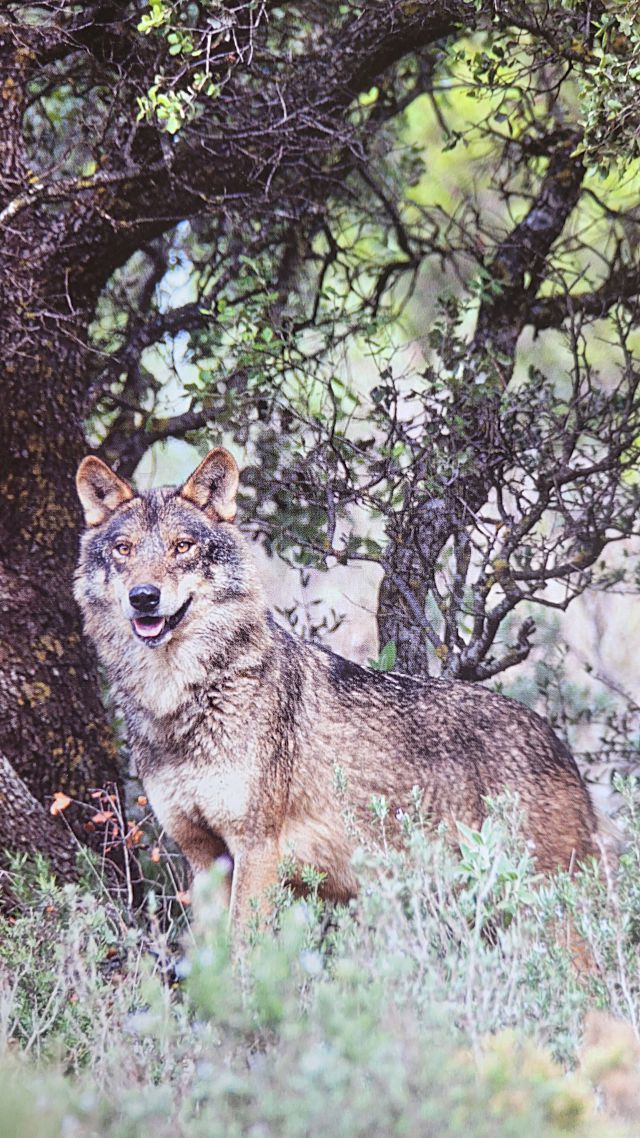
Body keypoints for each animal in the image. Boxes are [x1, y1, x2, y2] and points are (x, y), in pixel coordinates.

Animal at [75, 447, 598, 934]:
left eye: (182, 546)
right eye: (123, 549)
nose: (144, 597)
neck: (182, 698)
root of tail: (555, 741)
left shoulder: (257, 849)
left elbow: (243, 956)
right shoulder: (202, 857)